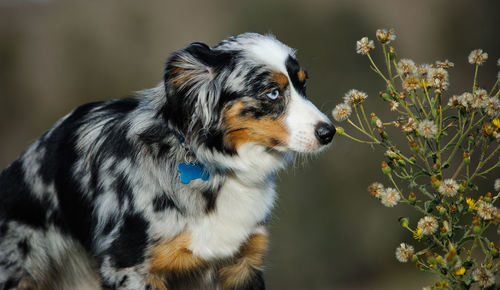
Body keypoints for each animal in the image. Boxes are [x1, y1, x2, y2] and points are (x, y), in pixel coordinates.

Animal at [0, 33, 336, 290]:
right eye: (272, 92)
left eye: (303, 85)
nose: (329, 132)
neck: (217, 167)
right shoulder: (129, 268)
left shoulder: (242, 265)